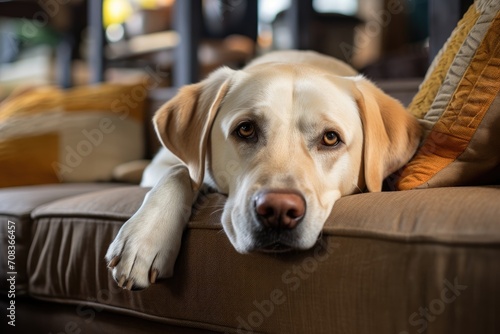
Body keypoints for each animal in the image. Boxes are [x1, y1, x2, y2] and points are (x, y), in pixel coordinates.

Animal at [106, 49, 422, 290]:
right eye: (245, 129)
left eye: (331, 138)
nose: (279, 210)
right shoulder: (168, 167)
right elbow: (183, 172)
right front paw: (144, 239)